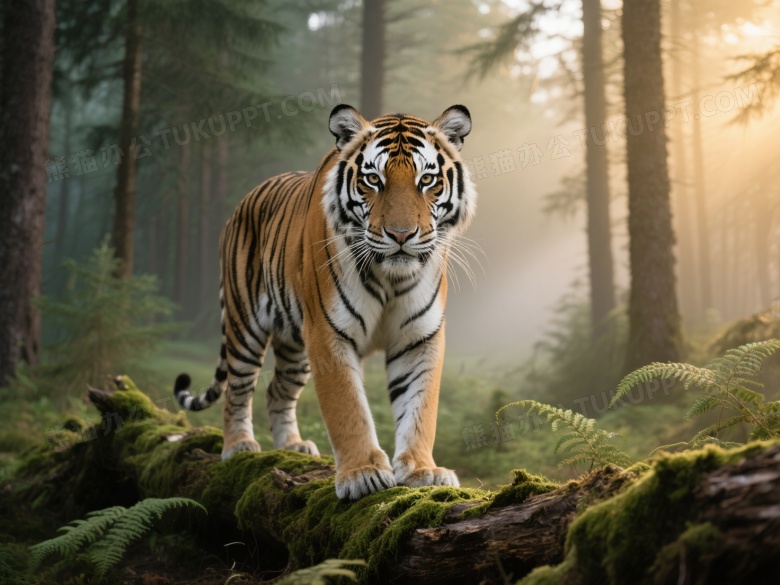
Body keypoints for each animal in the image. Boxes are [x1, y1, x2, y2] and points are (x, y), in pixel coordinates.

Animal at [173, 104, 476, 500]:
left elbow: (420, 409)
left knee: (277, 390)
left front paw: (422, 470)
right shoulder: (329, 334)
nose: (401, 235)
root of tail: (244, 201)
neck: (390, 277)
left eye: (426, 180)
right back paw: (239, 445)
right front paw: (363, 473)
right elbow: (347, 408)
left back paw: (293, 445)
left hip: (295, 346)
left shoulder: (419, 338)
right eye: (373, 180)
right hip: (244, 328)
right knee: (237, 390)